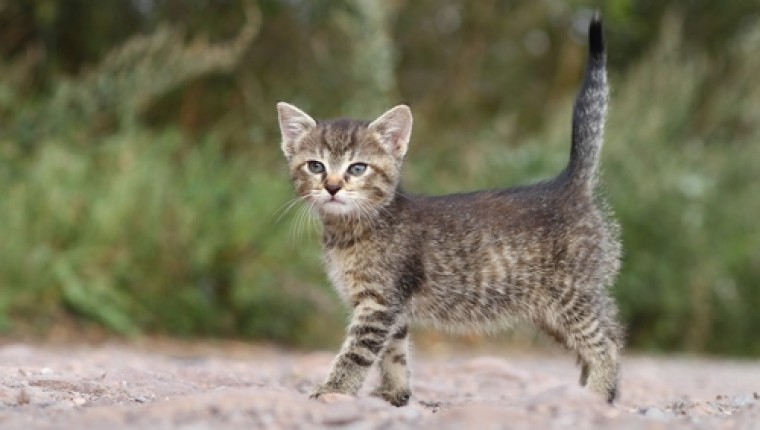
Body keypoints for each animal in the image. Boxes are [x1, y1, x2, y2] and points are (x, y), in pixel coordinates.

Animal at [276, 12, 620, 404]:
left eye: (357, 168)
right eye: (316, 166)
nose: (332, 187)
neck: (349, 230)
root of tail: (569, 183)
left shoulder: (379, 303)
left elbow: (357, 352)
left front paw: (333, 390)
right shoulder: (393, 309)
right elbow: (394, 353)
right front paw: (394, 395)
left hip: (571, 295)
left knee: (607, 343)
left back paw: (596, 395)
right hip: (554, 310)